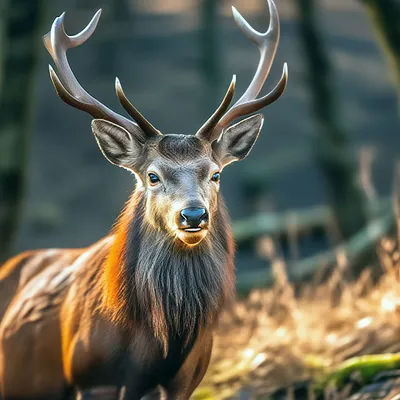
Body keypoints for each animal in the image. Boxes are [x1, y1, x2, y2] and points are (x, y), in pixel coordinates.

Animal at [0, 1, 288, 398]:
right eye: (152, 176)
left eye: (216, 174)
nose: (193, 215)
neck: (161, 345)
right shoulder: (93, 377)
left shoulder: (186, 380)